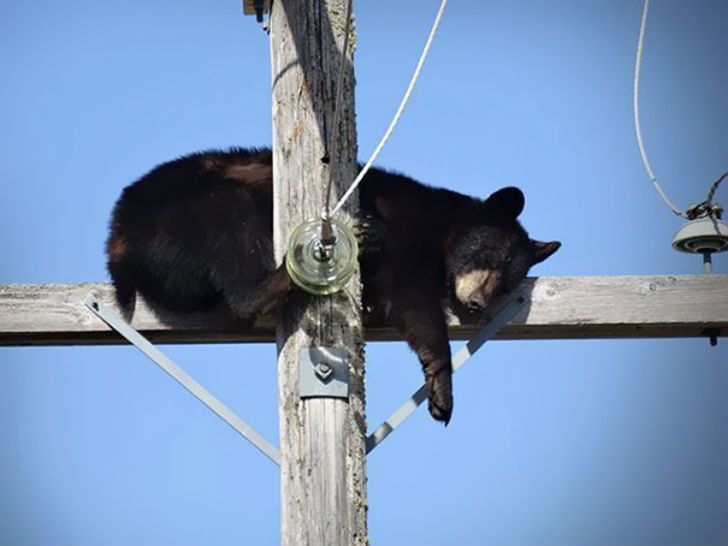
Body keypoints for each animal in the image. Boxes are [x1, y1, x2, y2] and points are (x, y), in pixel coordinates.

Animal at [105, 147, 560, 422]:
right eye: (493, 257)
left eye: (508, 281)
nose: (479, 302)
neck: (437, 230)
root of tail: (117, 238)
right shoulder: (405, 237)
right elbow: (416, 306)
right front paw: (441, 387)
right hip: (183, 215)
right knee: (231, 222)